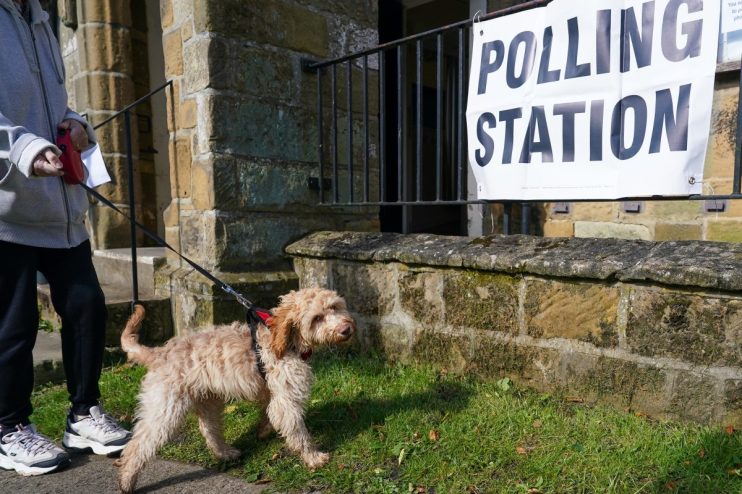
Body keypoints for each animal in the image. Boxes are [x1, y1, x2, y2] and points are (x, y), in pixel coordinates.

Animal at [115, 288, 358, 492]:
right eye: (317, 318)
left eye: (335, 307)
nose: (346, 329)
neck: (286, 339)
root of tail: (159, 353)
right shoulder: (287, 396)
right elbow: (297, 430)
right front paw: (313, 457)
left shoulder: (272, 392)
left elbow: (269, 412)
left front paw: (263, 430)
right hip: (165, 408)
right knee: (138, 445)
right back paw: (127, 479)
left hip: (208, 400)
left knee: (209, 429)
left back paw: (225, 452)